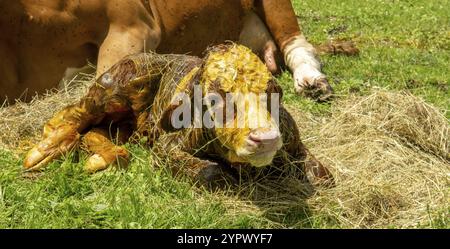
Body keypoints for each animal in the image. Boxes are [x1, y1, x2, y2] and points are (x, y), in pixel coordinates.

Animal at [24, 43, 334, 187]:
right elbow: (211, 172)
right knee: (70, 115)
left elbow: (323, 175)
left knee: (96, 132)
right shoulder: (166, 147)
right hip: (114, 85)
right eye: (214, 98)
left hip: (123, 124)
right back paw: (43, 152)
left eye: (273, 94)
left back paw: (103, 157)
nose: (266, 138)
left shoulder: (292, 139)